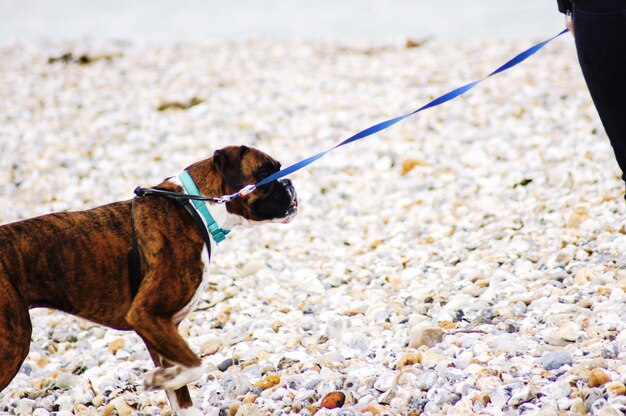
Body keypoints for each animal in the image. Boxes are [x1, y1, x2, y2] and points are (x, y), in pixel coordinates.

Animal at [0, 145, 298, 412]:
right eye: (266, 172)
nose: (289, 181)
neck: (195, 208)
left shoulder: (160, 327)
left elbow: (183, 395)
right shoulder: (147, 315)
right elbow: (195, 365)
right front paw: (160, 379)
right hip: (14, 343)